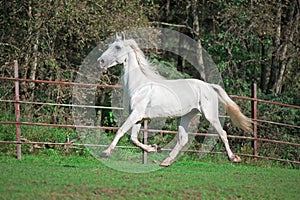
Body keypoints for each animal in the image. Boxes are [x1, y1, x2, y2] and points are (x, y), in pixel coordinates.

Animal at [97, 32, 252, 166]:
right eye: (109, 45)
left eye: (117, 47)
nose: (100, 61)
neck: (139, 85)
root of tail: (208, 86)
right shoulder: (138, 117)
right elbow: (133, 138)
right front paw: (153, 148)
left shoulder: (136, 114)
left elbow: (121, 131)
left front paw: (105, 153)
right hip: (186, 116)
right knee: (183, 139)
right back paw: (166, 161)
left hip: (210, 115)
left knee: (222, 133)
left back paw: (234, 158)